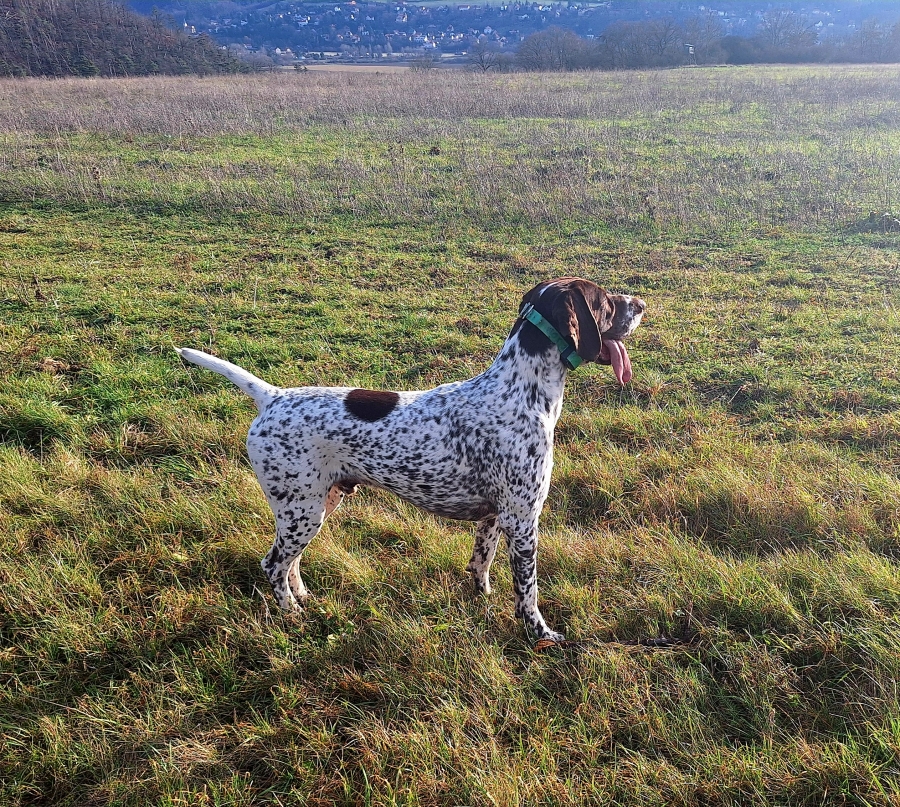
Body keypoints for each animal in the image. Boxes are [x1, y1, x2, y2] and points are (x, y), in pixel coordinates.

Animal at [177, 277, 644, 641]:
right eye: (605, 301)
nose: (641, 303)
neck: (518, 392)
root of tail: (271, 397)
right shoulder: (523, 519)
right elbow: (527, 593)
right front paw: (541, 634)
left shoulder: (495, 518)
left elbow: (481, 565)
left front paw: (482, 601)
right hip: (301, 510)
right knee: (273, 564)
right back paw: (291, 613)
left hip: (319, 504)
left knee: (289, 562)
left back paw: (302, 597)